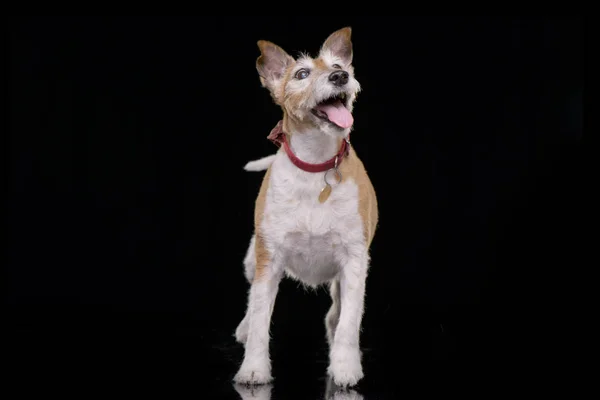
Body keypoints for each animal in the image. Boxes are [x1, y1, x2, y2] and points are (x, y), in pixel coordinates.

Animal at [233, 25, 378, 388]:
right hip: (250, 260)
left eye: (340, 66)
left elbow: (350, 321)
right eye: (301, 74)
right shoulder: (268, 260)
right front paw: (253, 369)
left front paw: (345, 367)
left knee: (337, 311)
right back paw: (243, 328)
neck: (316, 164)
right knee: (251, 302)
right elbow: (260, 318)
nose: (341, 77)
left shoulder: (355, 261)